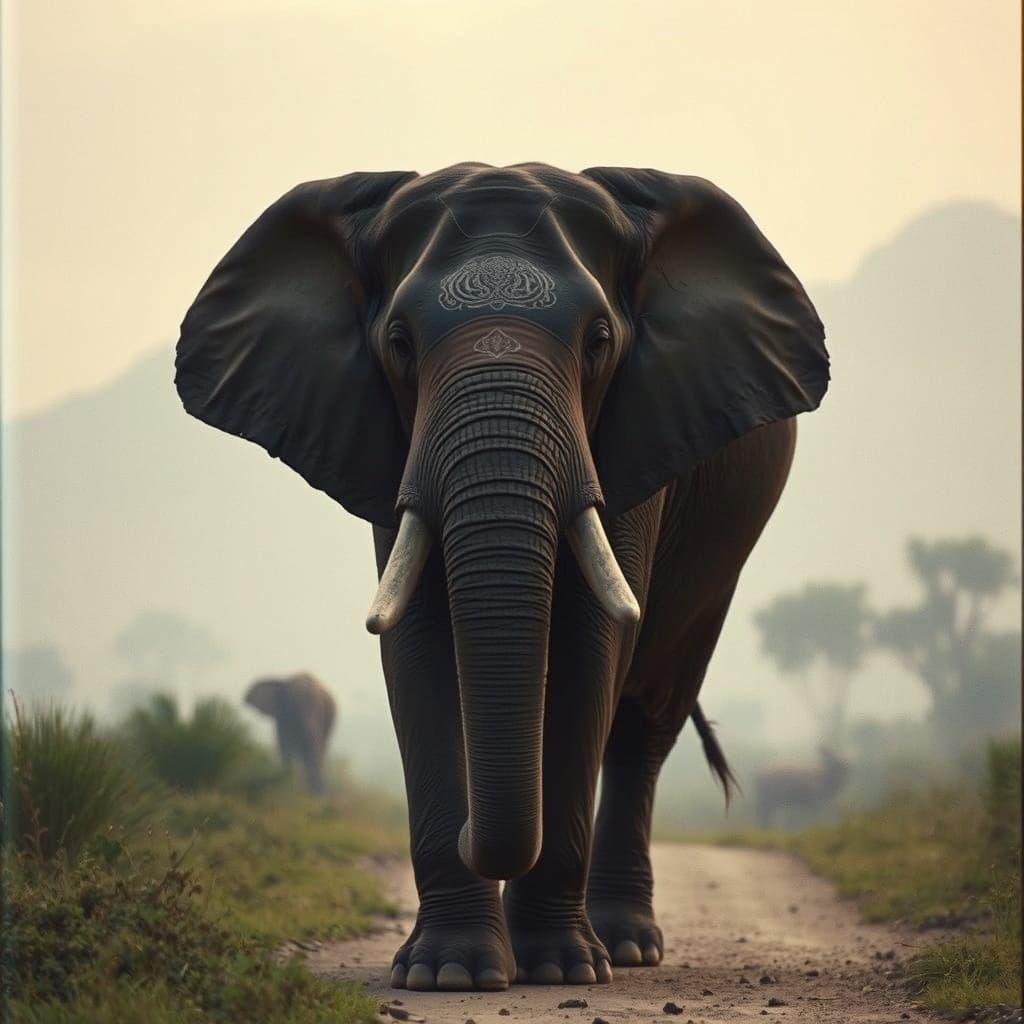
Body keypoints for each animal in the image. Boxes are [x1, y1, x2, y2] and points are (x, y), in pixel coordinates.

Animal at [175, 163, 828, 991]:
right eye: (399, 343)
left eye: (599, 341)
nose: (466, 834)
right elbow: (417, 645)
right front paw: (448, 973)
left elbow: (591, 646)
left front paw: (559, 968)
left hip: (726, 550)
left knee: (644, 721)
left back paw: (625, 948)